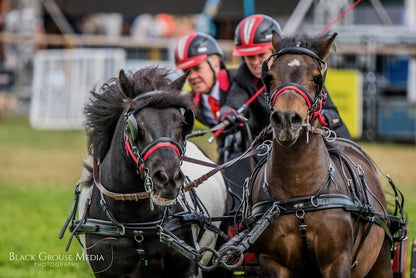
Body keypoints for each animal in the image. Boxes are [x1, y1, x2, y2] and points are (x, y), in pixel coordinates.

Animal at [245, 31, 404, 276]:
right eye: (269, 77)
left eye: (316, 78)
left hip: (381, 260)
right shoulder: (273, 262)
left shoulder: (337, 261)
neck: (300, 199)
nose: (286, 120)